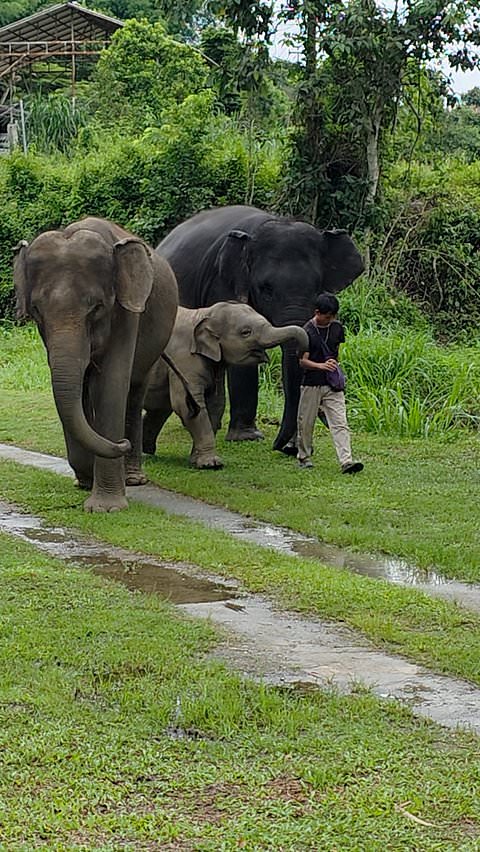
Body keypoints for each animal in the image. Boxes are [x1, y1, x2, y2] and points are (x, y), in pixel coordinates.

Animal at [14, 217, 178, 512]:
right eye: (36, 311)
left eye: (97, 308)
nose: (122, 443)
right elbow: (73, 388)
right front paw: (85, 480)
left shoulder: (126, 311)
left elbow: (111, 385)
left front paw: (107, 508)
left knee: (135, 391)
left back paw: (133, 477)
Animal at [142, 301, 309, 469]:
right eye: (246, 332)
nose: (302, 352)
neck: (204, 314)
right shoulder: (184, 360)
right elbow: (189, 406)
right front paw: (211, 464)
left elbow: (216, 403)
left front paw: (198, 461)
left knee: (160, 407)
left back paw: (146, 451)